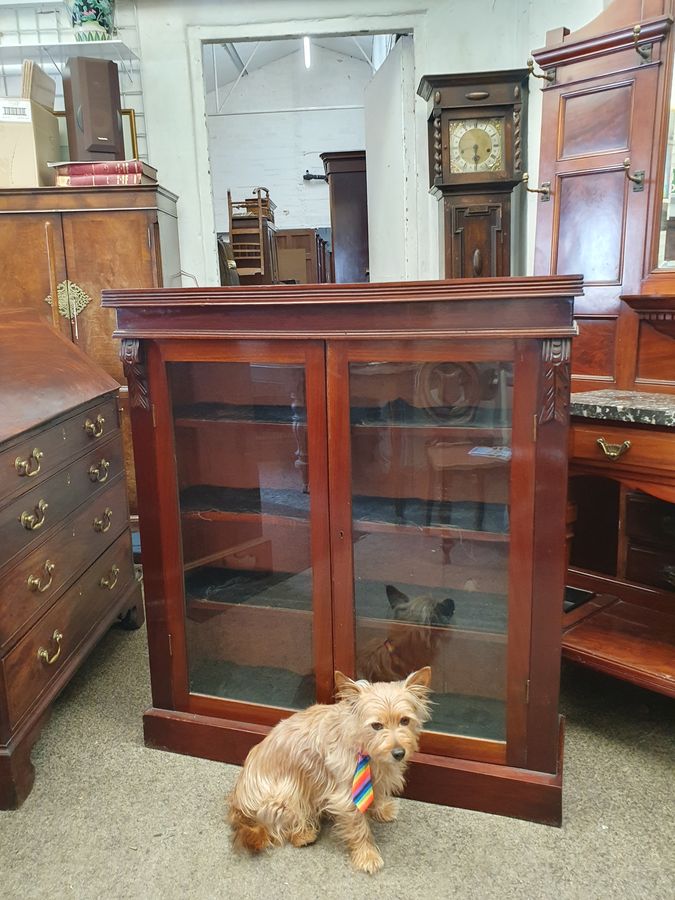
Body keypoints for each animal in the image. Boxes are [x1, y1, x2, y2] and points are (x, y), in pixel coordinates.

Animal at [230, 668, 434, 872]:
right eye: (376, 725)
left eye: (405, 721)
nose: (399, 753)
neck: (362, 745)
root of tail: (238, 804)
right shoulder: (346, 796)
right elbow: (359, 826)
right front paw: (366, 854)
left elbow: (375, 796)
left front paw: (381, 810)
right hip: (288, 794)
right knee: (282, 826)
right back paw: (302, 834)